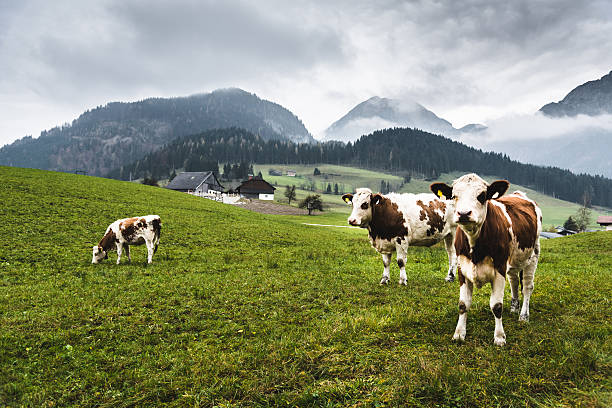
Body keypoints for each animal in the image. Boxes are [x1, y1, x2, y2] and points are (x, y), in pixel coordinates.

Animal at [432, 174, 544, 346]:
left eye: (482, 195)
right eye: (454, 196)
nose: (463, 213)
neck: (474, 244)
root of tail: (520, 194)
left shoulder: (499, 268)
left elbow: (497, 306)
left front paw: (499, 337)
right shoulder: (462, 269)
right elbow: (463, 304)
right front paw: (459, 334)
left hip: (533, 255)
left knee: (527, 287)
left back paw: (523, 316)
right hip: (513, 261)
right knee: (514, 281)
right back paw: (514, 307)